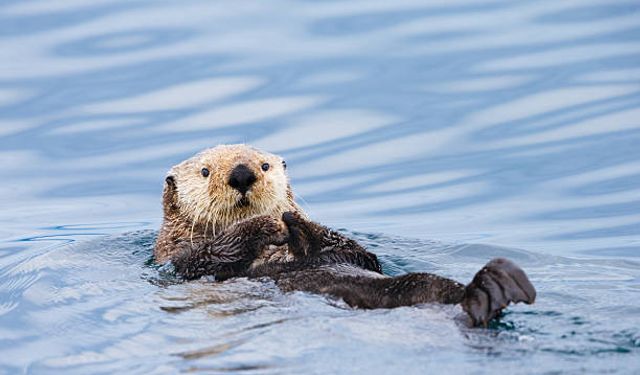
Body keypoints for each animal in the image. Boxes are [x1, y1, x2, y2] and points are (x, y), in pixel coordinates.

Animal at [155, 144, 536, 326]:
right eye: (205, 172)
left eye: (264, 165)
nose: (241, 173)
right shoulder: (179, 260)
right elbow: (210, 256)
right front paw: (266, 225)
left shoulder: (354, 254)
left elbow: (357, 253)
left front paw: (294, 221)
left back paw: (498, 285)